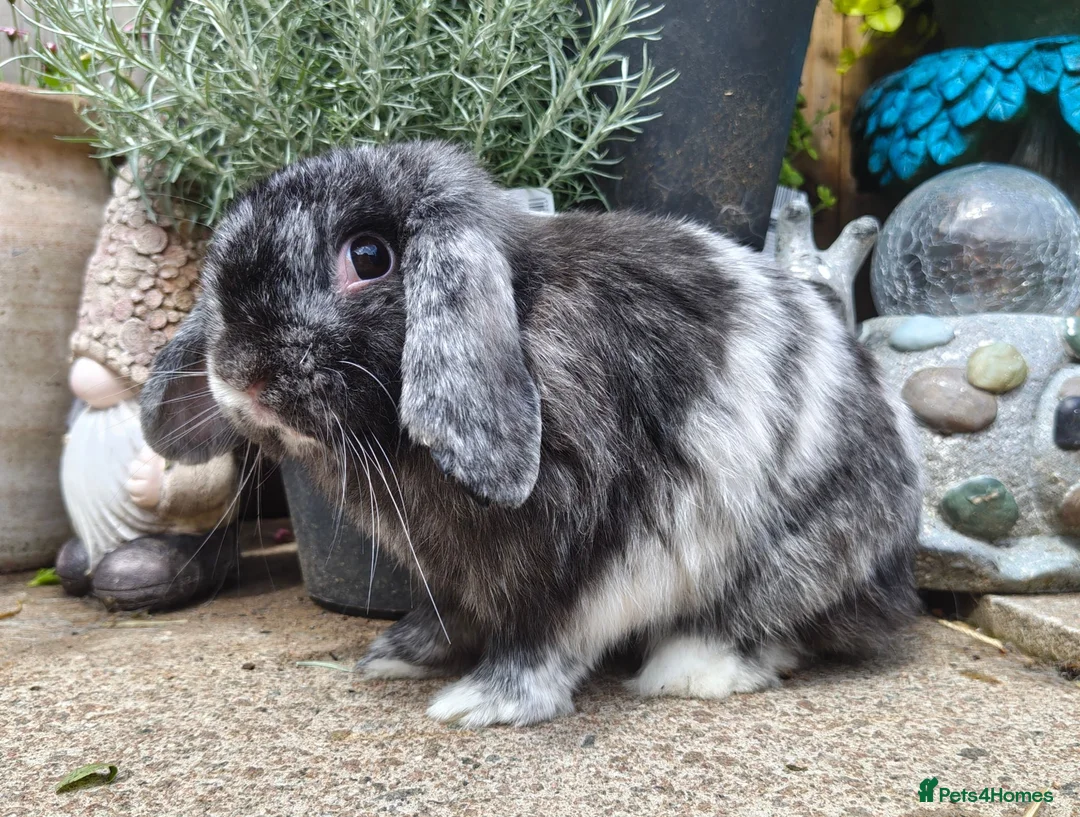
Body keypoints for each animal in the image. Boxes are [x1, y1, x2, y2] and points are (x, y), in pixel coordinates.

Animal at [140, 141, 923, 727]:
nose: (238, 374)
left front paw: (481, 703)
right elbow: (450, 614)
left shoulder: (595, 552)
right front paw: (396, 654)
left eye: (368, 257)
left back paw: (690, 670)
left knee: (773, 624)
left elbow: (548, 634)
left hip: (797, 557)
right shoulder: (449, 569)